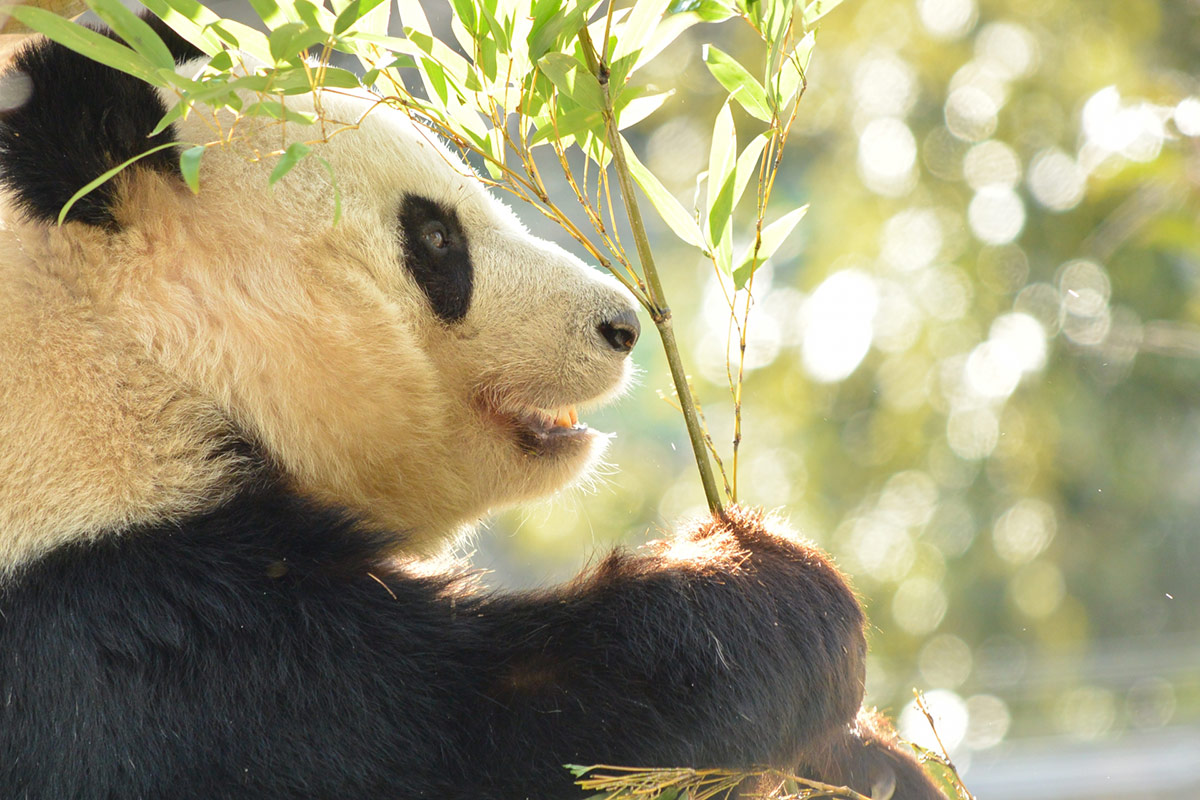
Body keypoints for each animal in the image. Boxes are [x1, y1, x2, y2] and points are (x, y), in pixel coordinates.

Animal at [0, 14, 945, 800]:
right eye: (435, 237)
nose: (621, 325)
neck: (114, 355)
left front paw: (870, 760)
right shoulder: (123, 642)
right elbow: (470, 735)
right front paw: (764, 592)